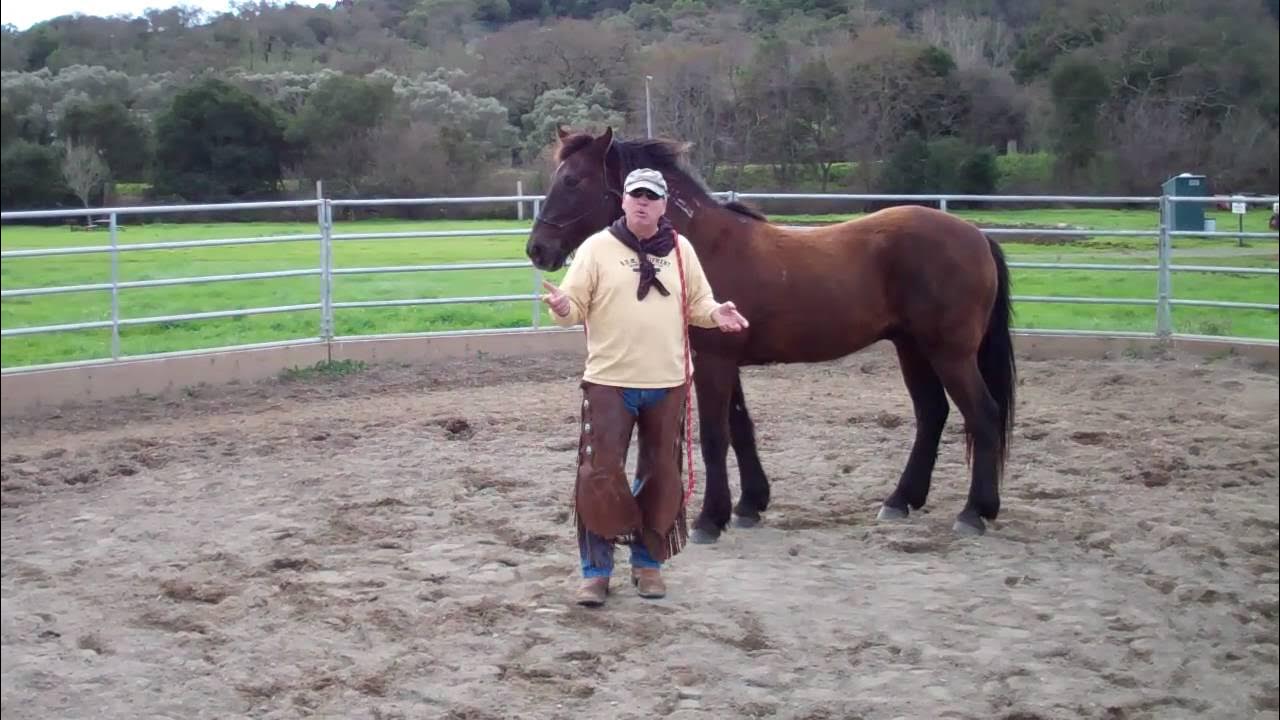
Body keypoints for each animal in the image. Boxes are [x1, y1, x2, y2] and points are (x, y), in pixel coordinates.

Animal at [525, 126, 1016, 540]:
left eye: (573, 181)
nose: (537, 250)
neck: (703, 248)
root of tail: (976, 236)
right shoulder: (724, 362)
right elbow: (741, 428)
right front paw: (749, 506)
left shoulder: (714, 362)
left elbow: (714, 436)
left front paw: (710, 519)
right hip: (912, 349)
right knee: (932, 414)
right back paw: (901, 501)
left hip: (949, 353)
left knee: (983, 414)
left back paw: (975, 512)